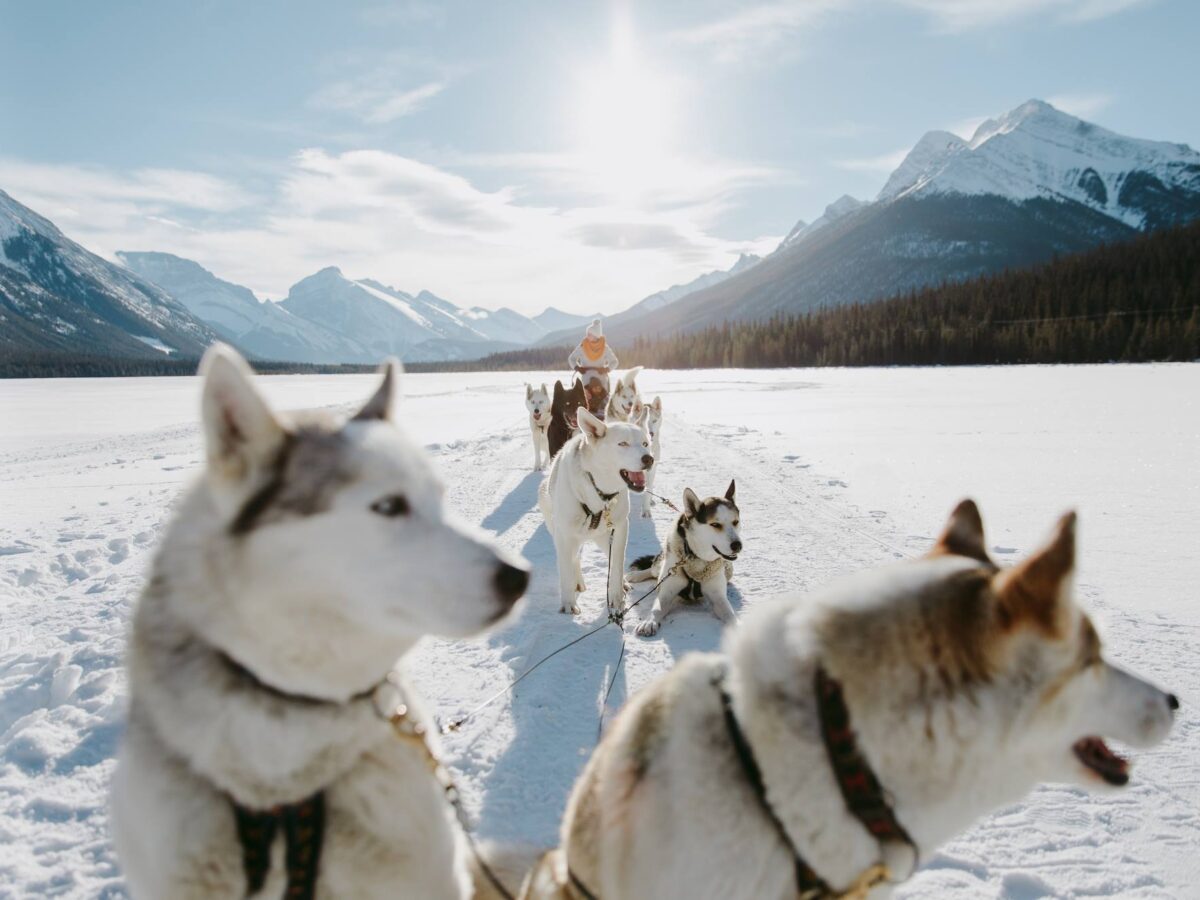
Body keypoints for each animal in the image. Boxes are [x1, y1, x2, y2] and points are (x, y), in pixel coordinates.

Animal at [542, 412, 657, 619]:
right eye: (623, 443)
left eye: (645, 443)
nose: (649, 459)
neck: (598, 492)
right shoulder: (564, 534)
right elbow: (566, 569)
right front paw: (568, 603)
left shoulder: (620, 529)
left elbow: (616, 567)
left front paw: (617, 599)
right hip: (564, 533)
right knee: (574, 559)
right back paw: (577, 583)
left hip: (604, 538)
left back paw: (622, 584)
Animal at [628, 482, 739, 638]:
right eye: (715, 524)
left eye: (736, 522)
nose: (738, 545)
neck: (695, 558)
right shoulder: (666, 593)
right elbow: (657, 609)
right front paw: (649, 622)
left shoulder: (718, 598)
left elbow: (730, 615)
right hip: (663, 563)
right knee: (653, 570)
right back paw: (635, 576)